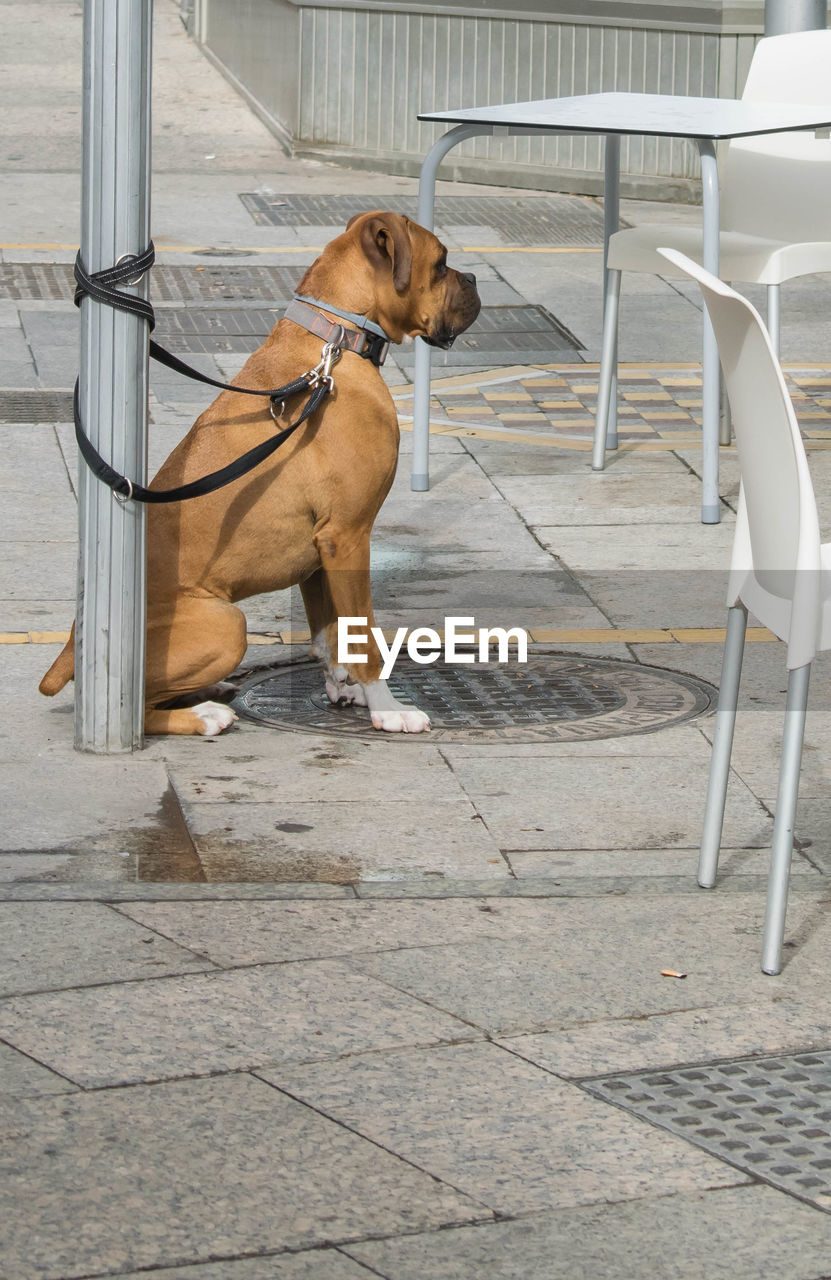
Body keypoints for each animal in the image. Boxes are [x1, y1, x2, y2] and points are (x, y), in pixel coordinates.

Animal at [38, 213, 478, 737]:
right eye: (442, 263)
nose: (475, 280)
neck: (337, 340)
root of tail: (71, 649)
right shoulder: (348, 535)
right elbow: (363, 637)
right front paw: (388, 708)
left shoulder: (322, 552)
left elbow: (328, 632)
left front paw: (342, 688)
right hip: (227, 623)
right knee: (140, 707)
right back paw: (204, 714)